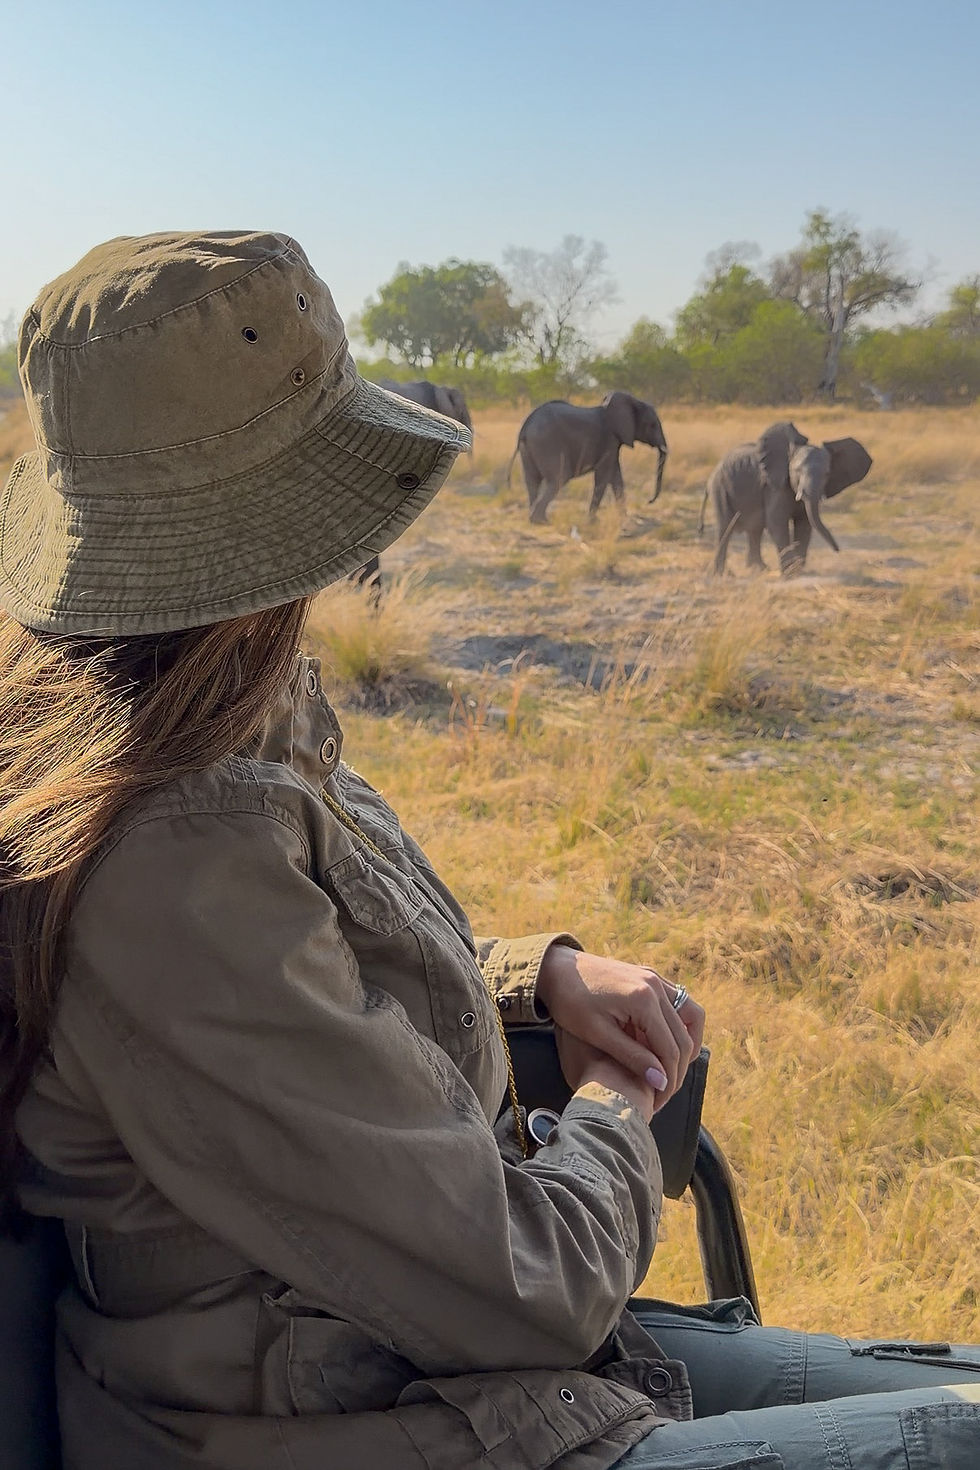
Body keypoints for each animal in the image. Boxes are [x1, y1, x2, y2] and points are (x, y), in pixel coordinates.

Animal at [506, 392, 668, 524]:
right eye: (652, 425)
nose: (649, 501)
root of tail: (525, 426)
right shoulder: (609, 440)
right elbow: (603, 477)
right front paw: (593, 521)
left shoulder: (613, 444)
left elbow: (616, 477)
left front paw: (623, 517)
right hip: (546, 443)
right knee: (559, 478)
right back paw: (540, 521)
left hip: (529, 448)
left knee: (532, 481)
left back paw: (537, 519)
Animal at [700, 422, 872, 575]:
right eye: (797, 471)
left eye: (827, 474)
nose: (837, 550)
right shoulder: (775, 486)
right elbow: (777, 522)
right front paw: (789, 573)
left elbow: (804, 524)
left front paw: (798, 570)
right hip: (720, 490)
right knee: (725, 528)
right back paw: (722, 574)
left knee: (754, 529)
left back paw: (759, 569)